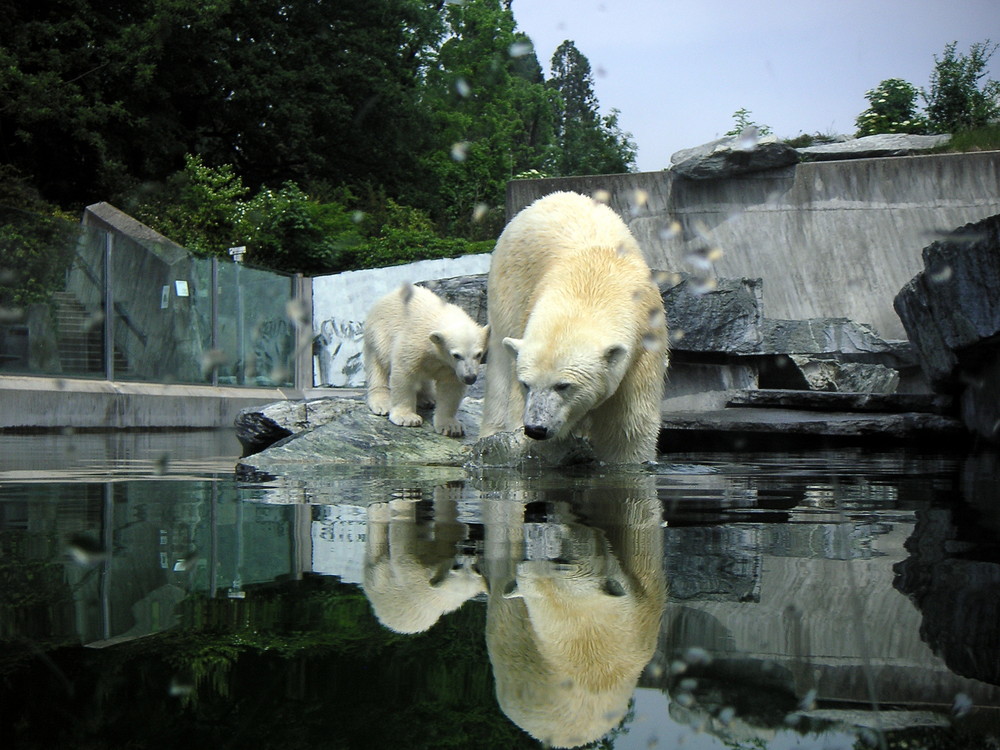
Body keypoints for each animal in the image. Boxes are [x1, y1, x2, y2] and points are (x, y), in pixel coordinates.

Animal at [480, 192, 668, 464]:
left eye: (563, 385)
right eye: (526, 384)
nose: (536, 429)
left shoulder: (644, 348)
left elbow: (627, 429)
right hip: (507, 284)